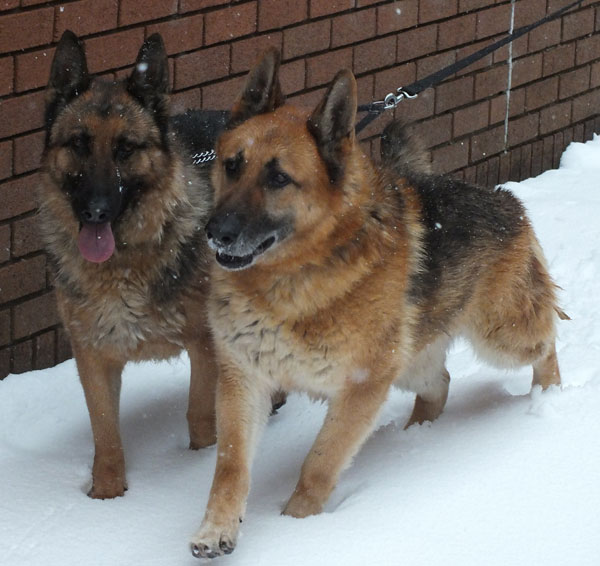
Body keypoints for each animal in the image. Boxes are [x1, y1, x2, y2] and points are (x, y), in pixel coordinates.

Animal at [39, 31, 227, 502]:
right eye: (78, 144)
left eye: (125, 149)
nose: (96, 211)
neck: (123, 263)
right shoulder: (92, 354)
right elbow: (105, 431)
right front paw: (108, 496)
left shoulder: (205, 345)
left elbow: (200, 417)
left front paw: (197, 463)